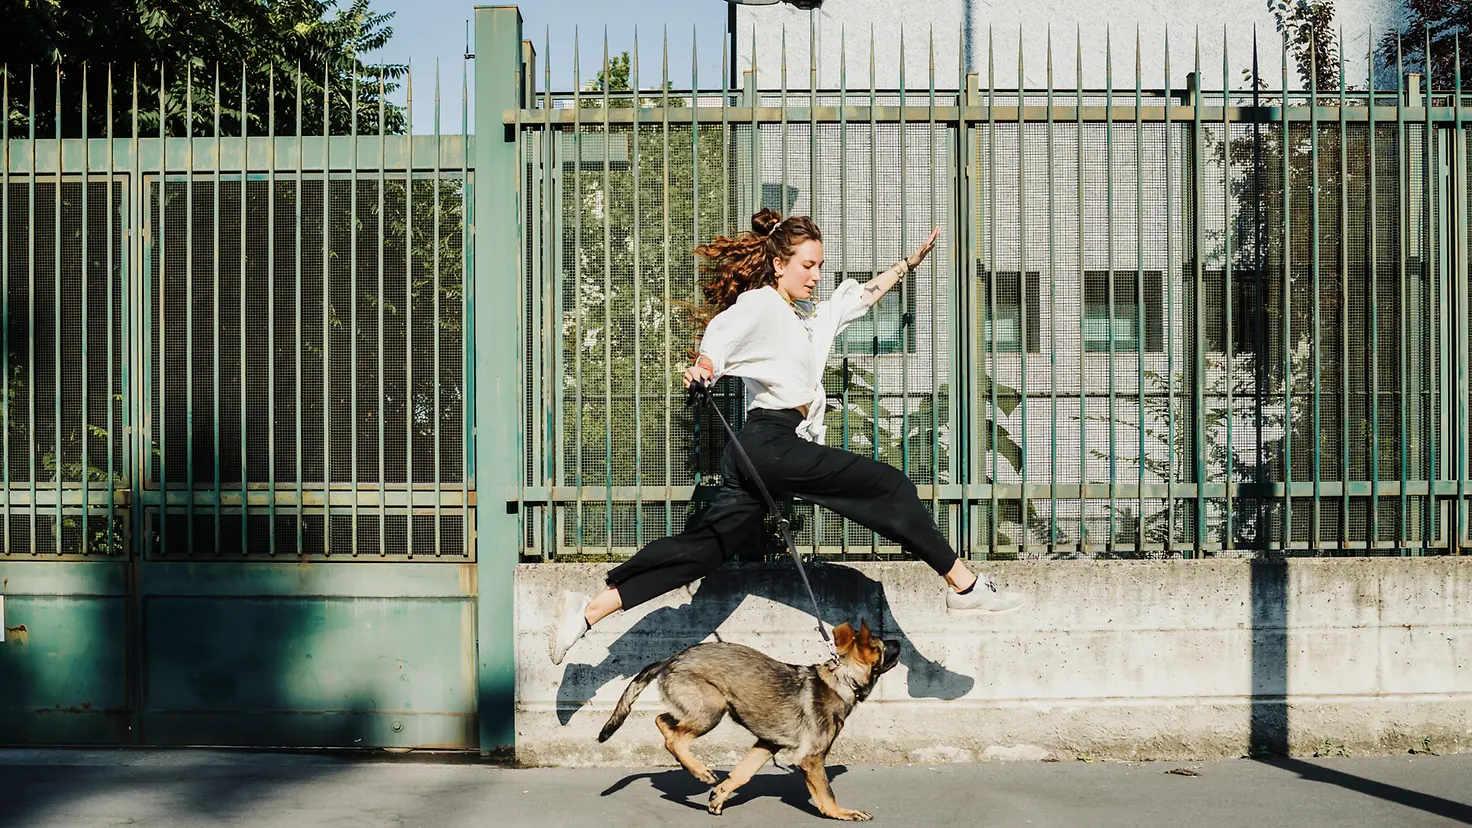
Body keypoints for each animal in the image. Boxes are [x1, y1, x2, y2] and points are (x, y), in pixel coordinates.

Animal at [594, 618, 894, 819]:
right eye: (882, 646)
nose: (898, 641)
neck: (843, 678)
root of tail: (671, 659)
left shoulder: (767, 744)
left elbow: (742, 774)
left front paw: (719, 796)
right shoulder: (810, 758)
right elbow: (826, 794)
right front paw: (841, 812)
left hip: (701, 708)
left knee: (663, 722)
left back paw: (692, 767)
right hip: (712, 709)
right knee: (674, 739)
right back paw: (700, 770)